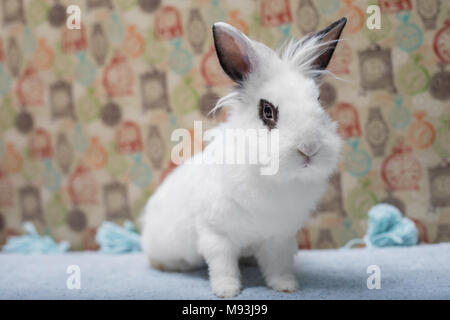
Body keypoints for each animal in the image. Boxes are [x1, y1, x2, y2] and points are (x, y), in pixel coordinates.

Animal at [142, 17, 346, 298]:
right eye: (267, 111)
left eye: (319, 102)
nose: (309, 149)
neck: (276, 180)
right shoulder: (216, 234)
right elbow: (223, 266)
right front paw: (227, 291)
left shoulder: (278, 237)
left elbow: (278, 265)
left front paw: (286, 286)